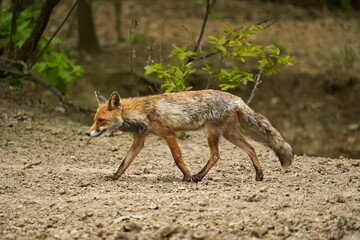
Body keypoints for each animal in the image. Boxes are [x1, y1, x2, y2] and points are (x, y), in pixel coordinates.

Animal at [86, 89, 292, 182]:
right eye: (95, 120)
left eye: (101, 121)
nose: (87, 132)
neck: (142, 112)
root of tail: (237, 98)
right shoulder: (139, 139)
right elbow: (125, 161)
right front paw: (114, 176)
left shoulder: (168, 133)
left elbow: (177, 158)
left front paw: (186, 176)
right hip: (228, 134)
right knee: (251, 148)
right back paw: (259, 174)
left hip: (211, 132)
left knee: (216, 155)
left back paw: (198, 176)